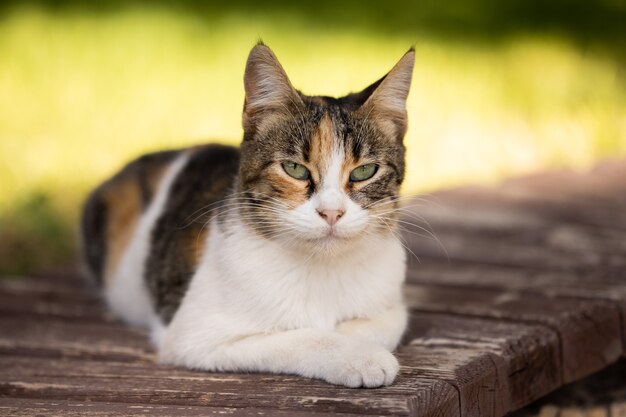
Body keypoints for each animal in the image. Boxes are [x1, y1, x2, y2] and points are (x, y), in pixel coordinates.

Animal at [81, 43, 414, 386]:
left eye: (364, 171)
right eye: (294, 168)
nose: (331, 212)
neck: (320, 268)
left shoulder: (392, 308)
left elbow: (375, 327)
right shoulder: (194, 337)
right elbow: (302, 336)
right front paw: (360, 357)